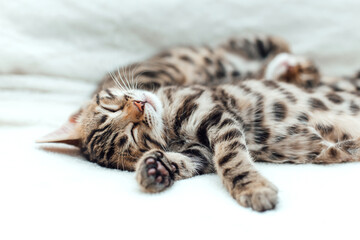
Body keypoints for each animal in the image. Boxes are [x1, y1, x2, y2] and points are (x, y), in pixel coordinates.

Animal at [36, 34, 358, 212]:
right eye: (134, 134)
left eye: (109, 106)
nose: (140, 104)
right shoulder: (200, 150)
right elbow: (192, 162)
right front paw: (155, 170)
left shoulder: (215, 114)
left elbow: (230, 159)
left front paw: (252, 188)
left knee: (268, 45)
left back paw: (287, 63)